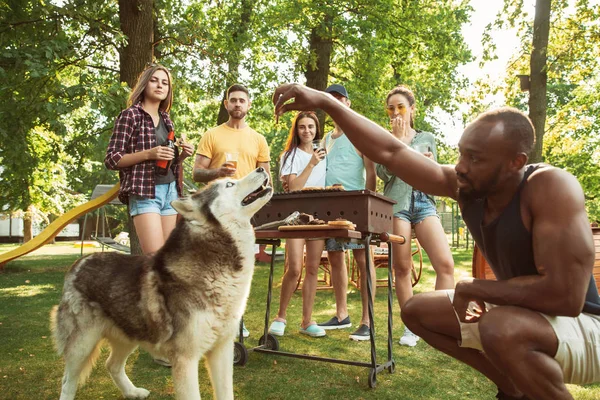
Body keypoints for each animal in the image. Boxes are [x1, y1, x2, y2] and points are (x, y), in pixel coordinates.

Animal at [51, 169, 272, 400]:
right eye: (229, 184)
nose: (261, 169)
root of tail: (80, 262)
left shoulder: (222, 351)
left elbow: (226, 393)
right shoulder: (186, 359)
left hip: (129, 334)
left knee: (111, 365)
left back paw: (133, 392)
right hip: (82, 345)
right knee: (67, 381)